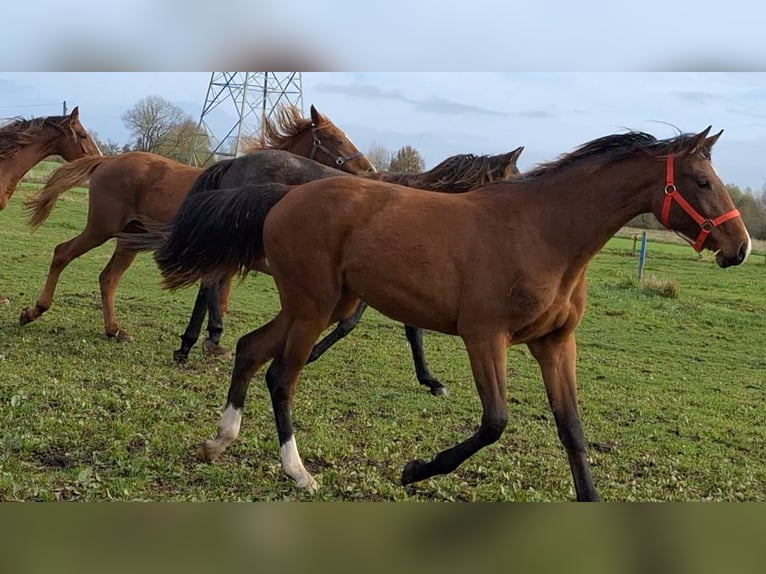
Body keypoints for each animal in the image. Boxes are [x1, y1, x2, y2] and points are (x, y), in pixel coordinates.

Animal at [18, 104, 376, 342]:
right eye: (333, 137)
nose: (369, 169)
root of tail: (107, 160)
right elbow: (216, 293)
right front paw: (206, 339)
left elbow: (220, 295)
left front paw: (205, 337)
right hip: (100, 229)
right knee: (63, 253)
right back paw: (34, 311)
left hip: (129, 238)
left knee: (108, 278)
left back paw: (114, 330)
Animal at [121, 146, 528, 398]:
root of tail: (232, 163)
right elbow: (352, 324)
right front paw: (313, 353)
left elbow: (407, 329)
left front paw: (430, 381)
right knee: (210, 283)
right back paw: (205, 340)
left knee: (209, 282)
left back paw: (191, 344)